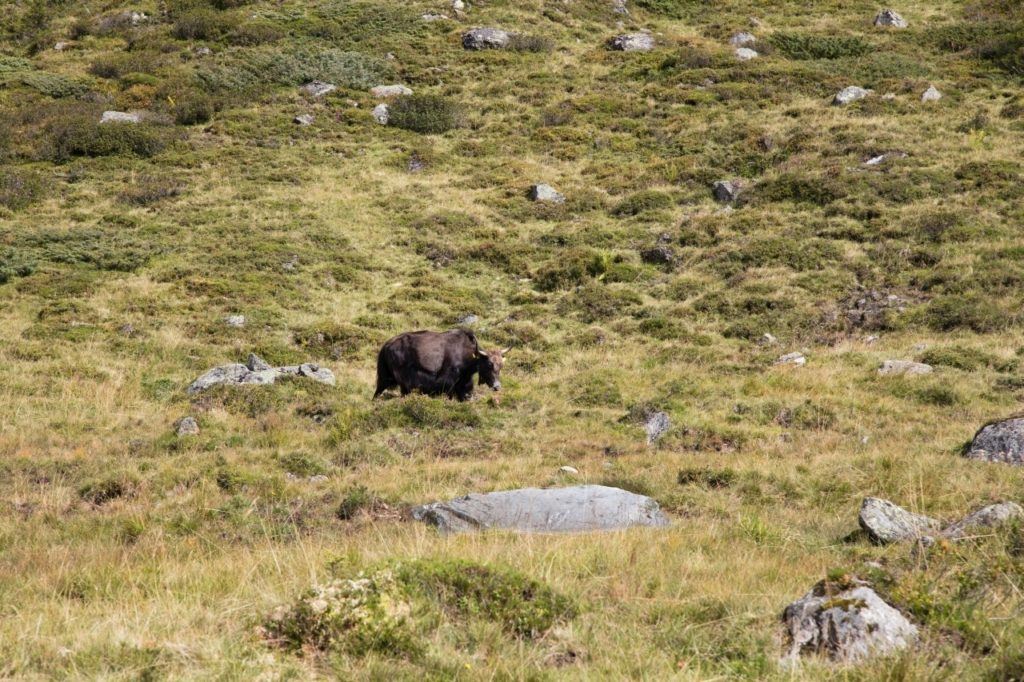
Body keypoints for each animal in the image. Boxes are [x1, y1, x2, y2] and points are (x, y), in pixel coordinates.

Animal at [374, 329, 509, 401]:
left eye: (501, 366)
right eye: (489, 364)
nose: (497, 387)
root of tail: (386, 345)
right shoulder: (448, 383)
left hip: (386, 378)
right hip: (403, 382)